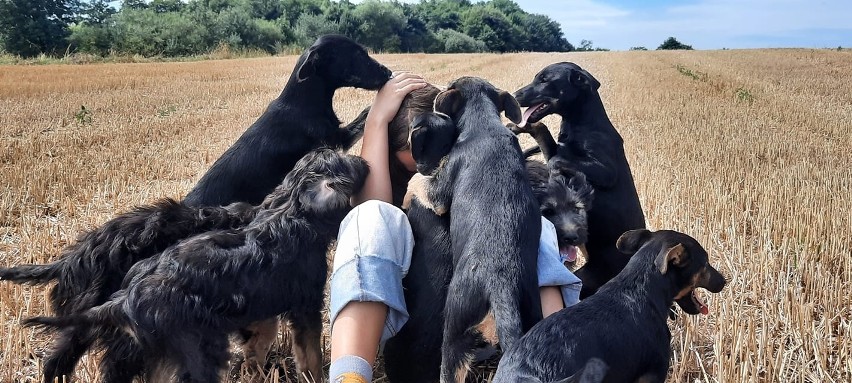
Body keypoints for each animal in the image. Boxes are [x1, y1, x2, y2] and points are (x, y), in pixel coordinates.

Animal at [410, 76, 544, 382]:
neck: (484, 124)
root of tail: (501, 284)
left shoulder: (439, 193)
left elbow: (419, 181)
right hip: (532, 310)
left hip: (454, 326)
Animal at [512, 61, 644, 298]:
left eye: (545, 80)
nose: (515, 95)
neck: (582, 124)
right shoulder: (554, 147)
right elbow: (546, 136)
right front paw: (520, 126)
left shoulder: (605, 171)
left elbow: (558, 159)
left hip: (588, 277)